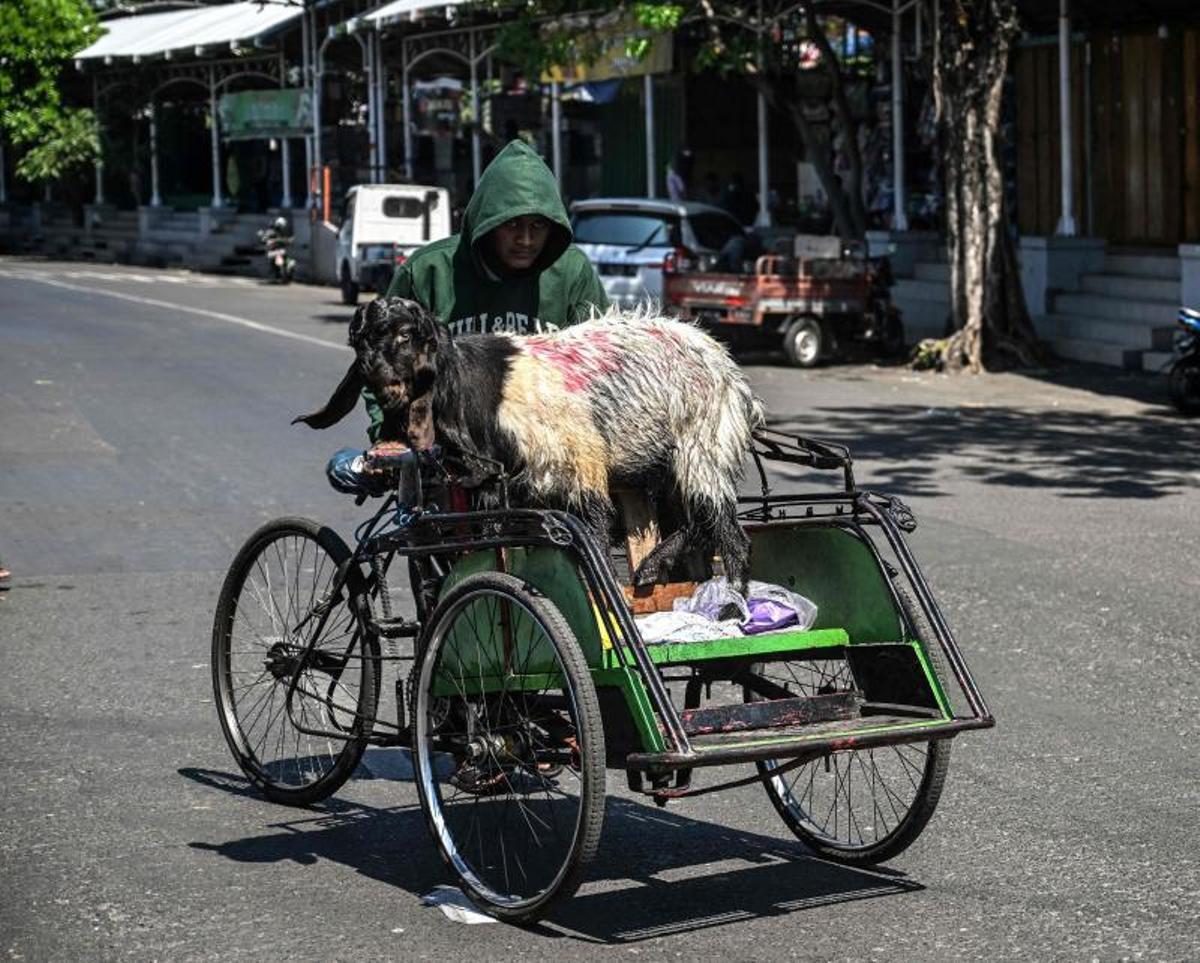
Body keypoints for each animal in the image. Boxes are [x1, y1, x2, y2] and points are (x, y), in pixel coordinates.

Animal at [297, 296, 768, 588]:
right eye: (360, 338)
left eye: (405, 334)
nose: (374, 373)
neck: (470, 391)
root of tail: (731, 372)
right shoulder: (497, 488)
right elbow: (493, 538)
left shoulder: (579, 462)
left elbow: (594, 532)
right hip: (665, 465)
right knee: (695, 521)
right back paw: (654, 566)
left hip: (702, 446)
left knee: (724, 528)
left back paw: (731, 597)